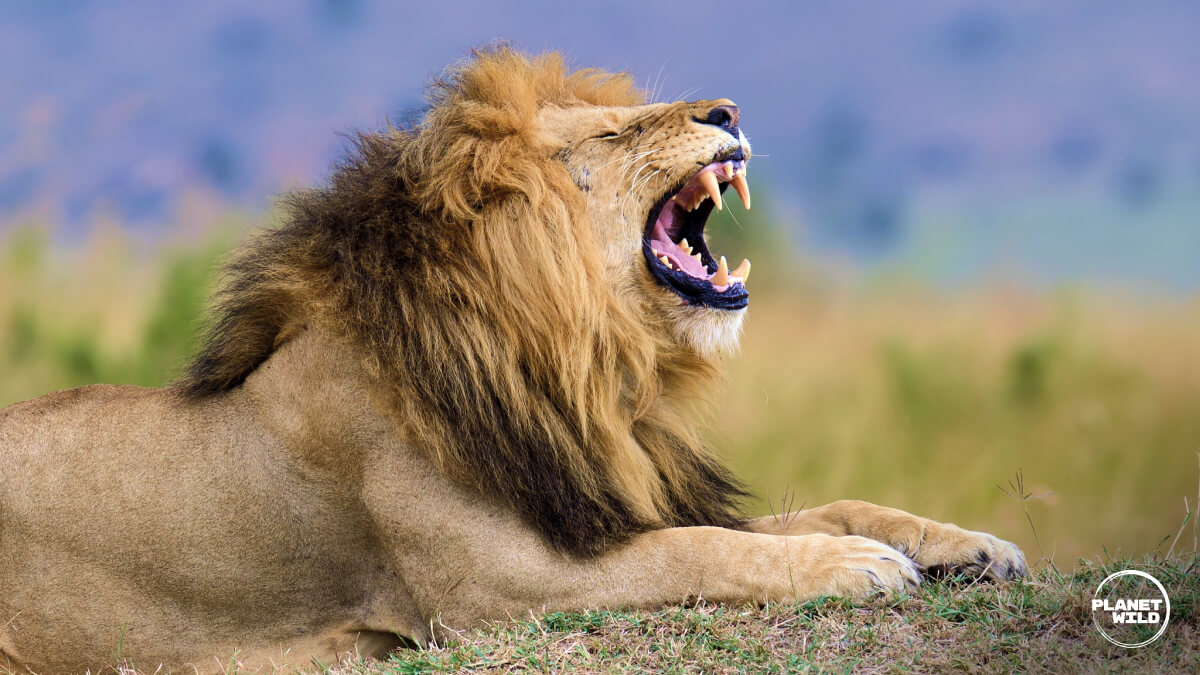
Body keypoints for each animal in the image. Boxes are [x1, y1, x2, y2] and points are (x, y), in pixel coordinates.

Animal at [0, 48, 1025, 674]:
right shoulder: (499, 587)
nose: (729, 107)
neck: (586, 369)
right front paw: (855, 565)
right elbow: (701, 549)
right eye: (612, 134)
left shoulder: (605, 498)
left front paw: (963, 542)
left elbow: (814, 509)